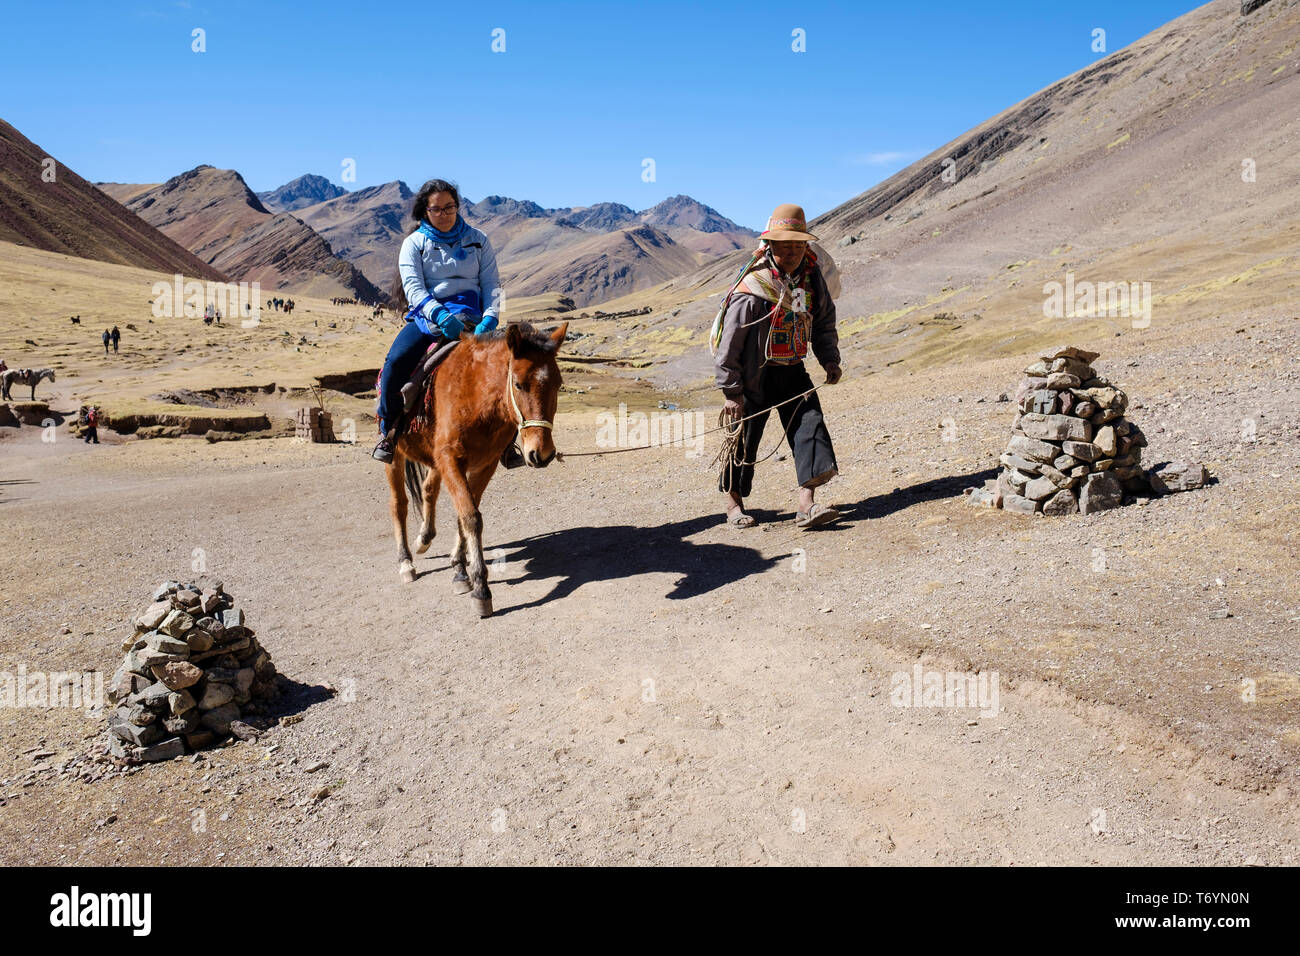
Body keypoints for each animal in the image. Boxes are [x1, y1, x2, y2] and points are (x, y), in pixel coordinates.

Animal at [384, 321, 569, 621]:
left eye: (558, 384)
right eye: (518, 384)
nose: (541, 454)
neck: (476, 396)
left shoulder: (485, 463)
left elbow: (465, 515)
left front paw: (460, 571)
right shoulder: (451, 459)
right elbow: (470, 517)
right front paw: (481, 590)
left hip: (435, 460)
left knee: (428, 489)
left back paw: (424, 538)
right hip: (395, 456)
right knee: (398, 504)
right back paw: (406, 563)